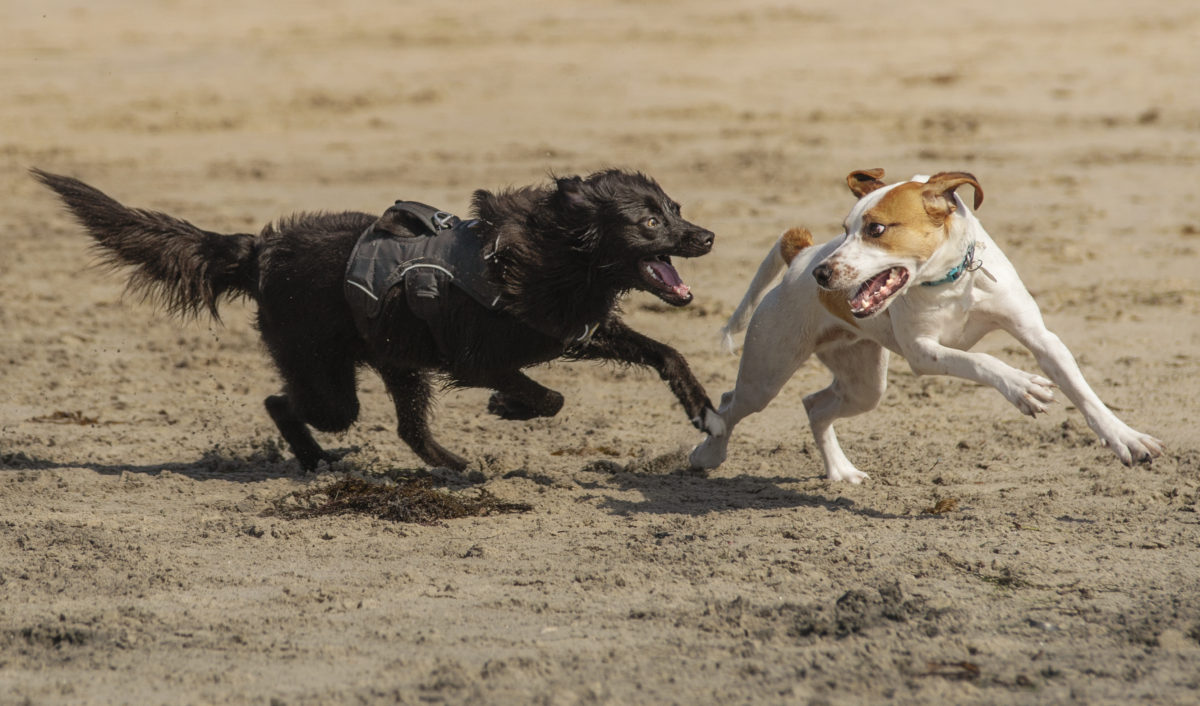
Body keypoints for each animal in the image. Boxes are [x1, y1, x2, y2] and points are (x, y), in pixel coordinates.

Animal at [32, 168, 715, 470]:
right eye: (647, 221)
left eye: (676, 207)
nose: (707, 236)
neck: (555, 252)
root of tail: (262, 250)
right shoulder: (475, 357)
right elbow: (546, 395)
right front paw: (508, 407)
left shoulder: (571, 329)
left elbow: (666, 353)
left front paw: (701, 405)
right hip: (332, 381)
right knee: (283, 402)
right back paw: (315, 459)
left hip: (397, 365)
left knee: (409, 430)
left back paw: (452, 465)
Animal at [691, 168, 1166, 482]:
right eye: (844, 230)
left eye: (876, 229)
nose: (822, 275)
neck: (952, 281)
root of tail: (799, 256)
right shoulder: (924, 351)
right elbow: (982, 361)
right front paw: (1021, 387)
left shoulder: (1039, 337)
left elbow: (1084, 394)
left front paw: (1127, 439)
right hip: (767, 373)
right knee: (731, 403)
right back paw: (709, 451)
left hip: (864, 383)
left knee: (814, 405)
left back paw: (841, 471)